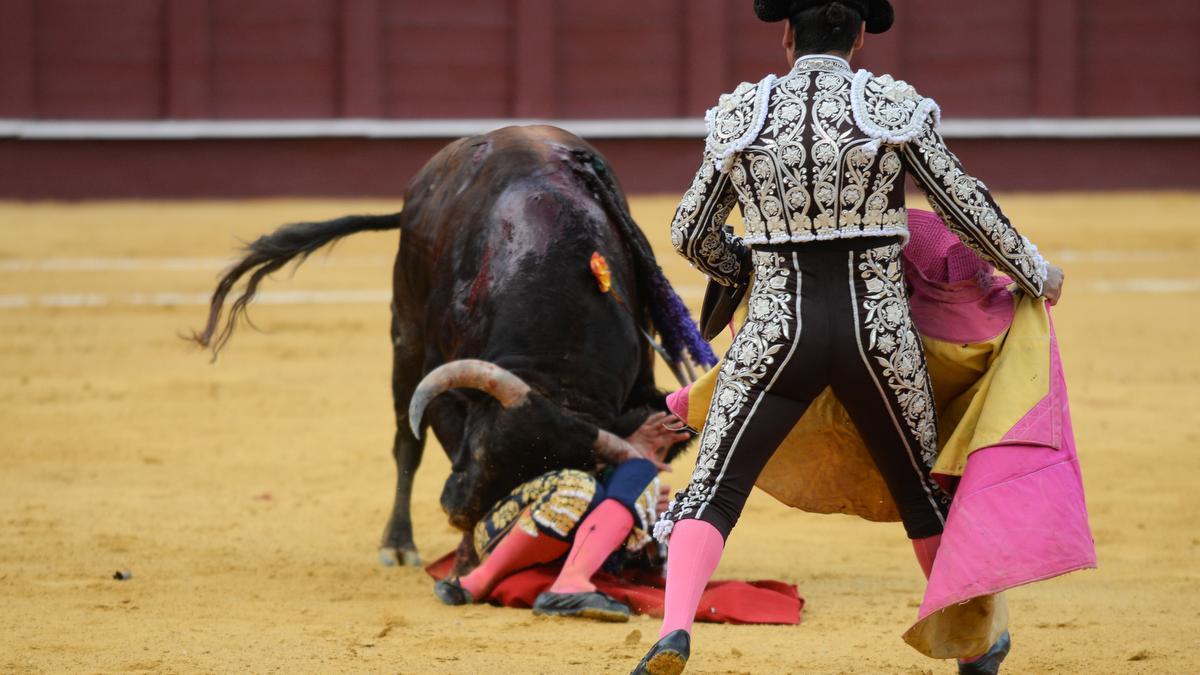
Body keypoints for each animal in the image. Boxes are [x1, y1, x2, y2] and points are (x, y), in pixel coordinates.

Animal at [192, 124, 705, 566]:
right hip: (405, 334)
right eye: (476, 455)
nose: (455, 508)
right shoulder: (443, 380)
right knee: (406, 442)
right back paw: (398, 545)